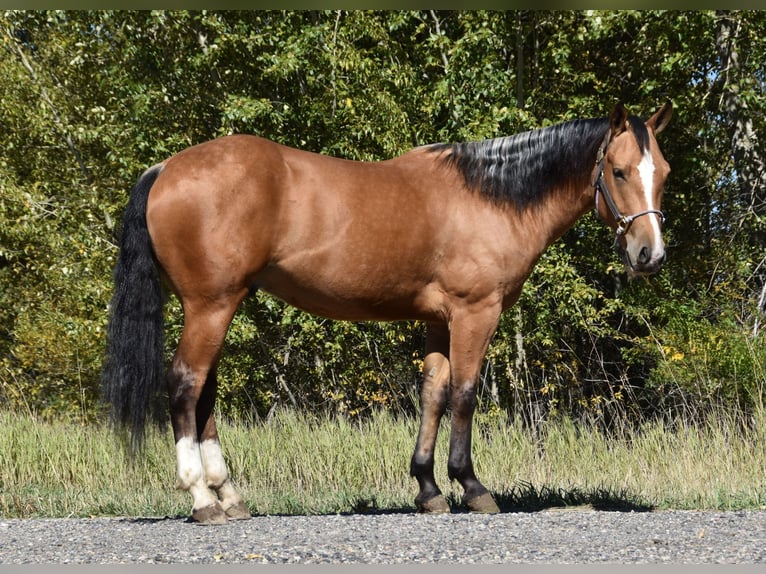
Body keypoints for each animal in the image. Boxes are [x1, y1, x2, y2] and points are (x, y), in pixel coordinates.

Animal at [102, 102, 672, 524]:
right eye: (618, 171)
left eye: (662, 172)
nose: (650, 254)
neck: (492, 197)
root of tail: (167, 168)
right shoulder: (475, 313)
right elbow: (465, 394)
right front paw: (472, 487)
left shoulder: (439, 321)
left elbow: (433, 396)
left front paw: (428, 489)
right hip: (210, 306)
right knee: (185, 384)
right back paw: (202, 498)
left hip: (216, 307)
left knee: (205, 394)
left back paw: (230, 497)